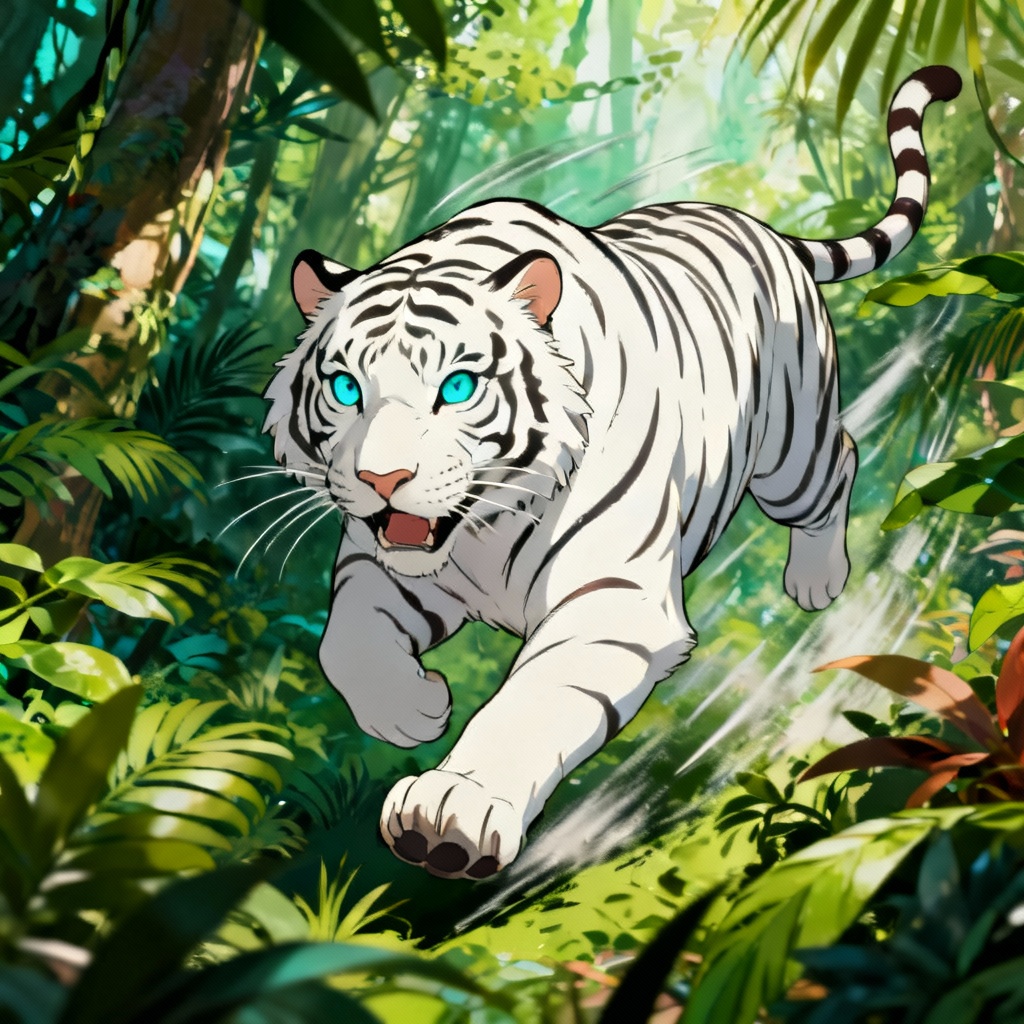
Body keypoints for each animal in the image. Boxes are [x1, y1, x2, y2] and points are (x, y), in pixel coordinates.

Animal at [263, 66, 961, 879]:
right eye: (347, 389)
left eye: (458, 387)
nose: (381, 479)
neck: (481, 530)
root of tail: (759, 225)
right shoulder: (383, 566)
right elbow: (343, 641)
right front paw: (412, 709)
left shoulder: (613, 601)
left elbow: (531, 703)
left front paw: (454, 809)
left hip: (790, 455)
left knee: (839, 461)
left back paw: (816, 581)